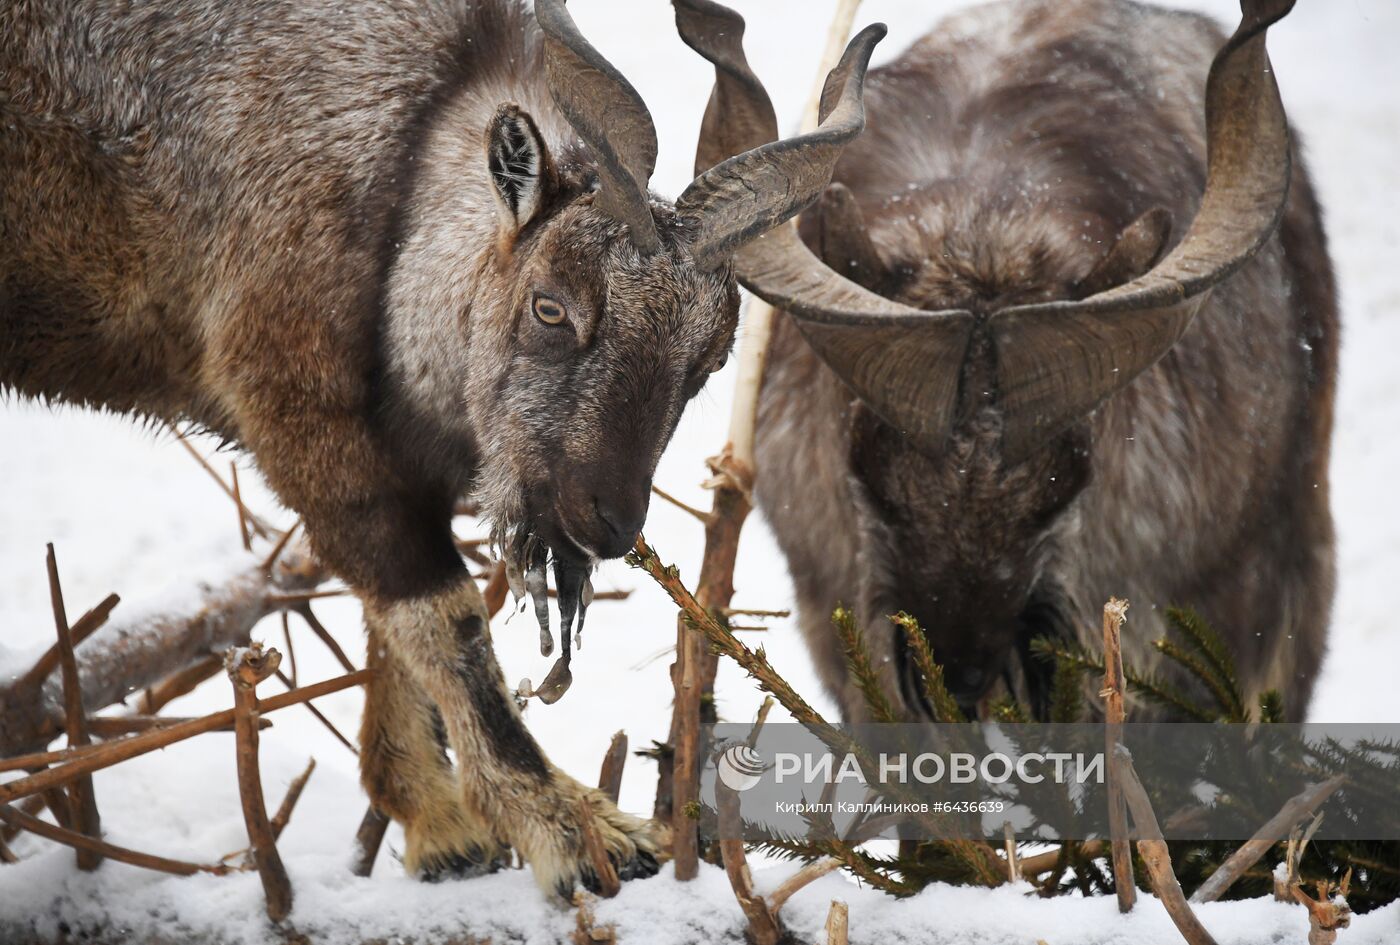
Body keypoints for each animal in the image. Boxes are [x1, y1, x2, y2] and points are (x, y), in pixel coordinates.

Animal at [2, 0, 884, 901]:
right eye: (550, 305)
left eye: (707, 361)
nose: (604, 520)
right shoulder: (301, 417)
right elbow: (443, 613)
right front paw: (573, 830)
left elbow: (393, 628)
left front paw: (439, 827)